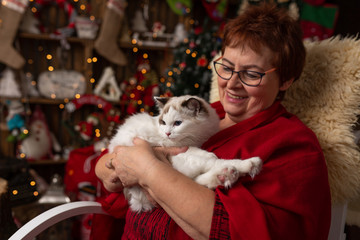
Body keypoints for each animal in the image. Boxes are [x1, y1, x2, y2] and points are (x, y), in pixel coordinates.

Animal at [107, 95, 262, 212]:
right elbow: (207, 156)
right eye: (163, 122)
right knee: (211, 165)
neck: (196, 138)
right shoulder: (178, 149)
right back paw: (243, 168)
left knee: (198, 178)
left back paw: (227, 175)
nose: (167, 133)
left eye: (177, 123)